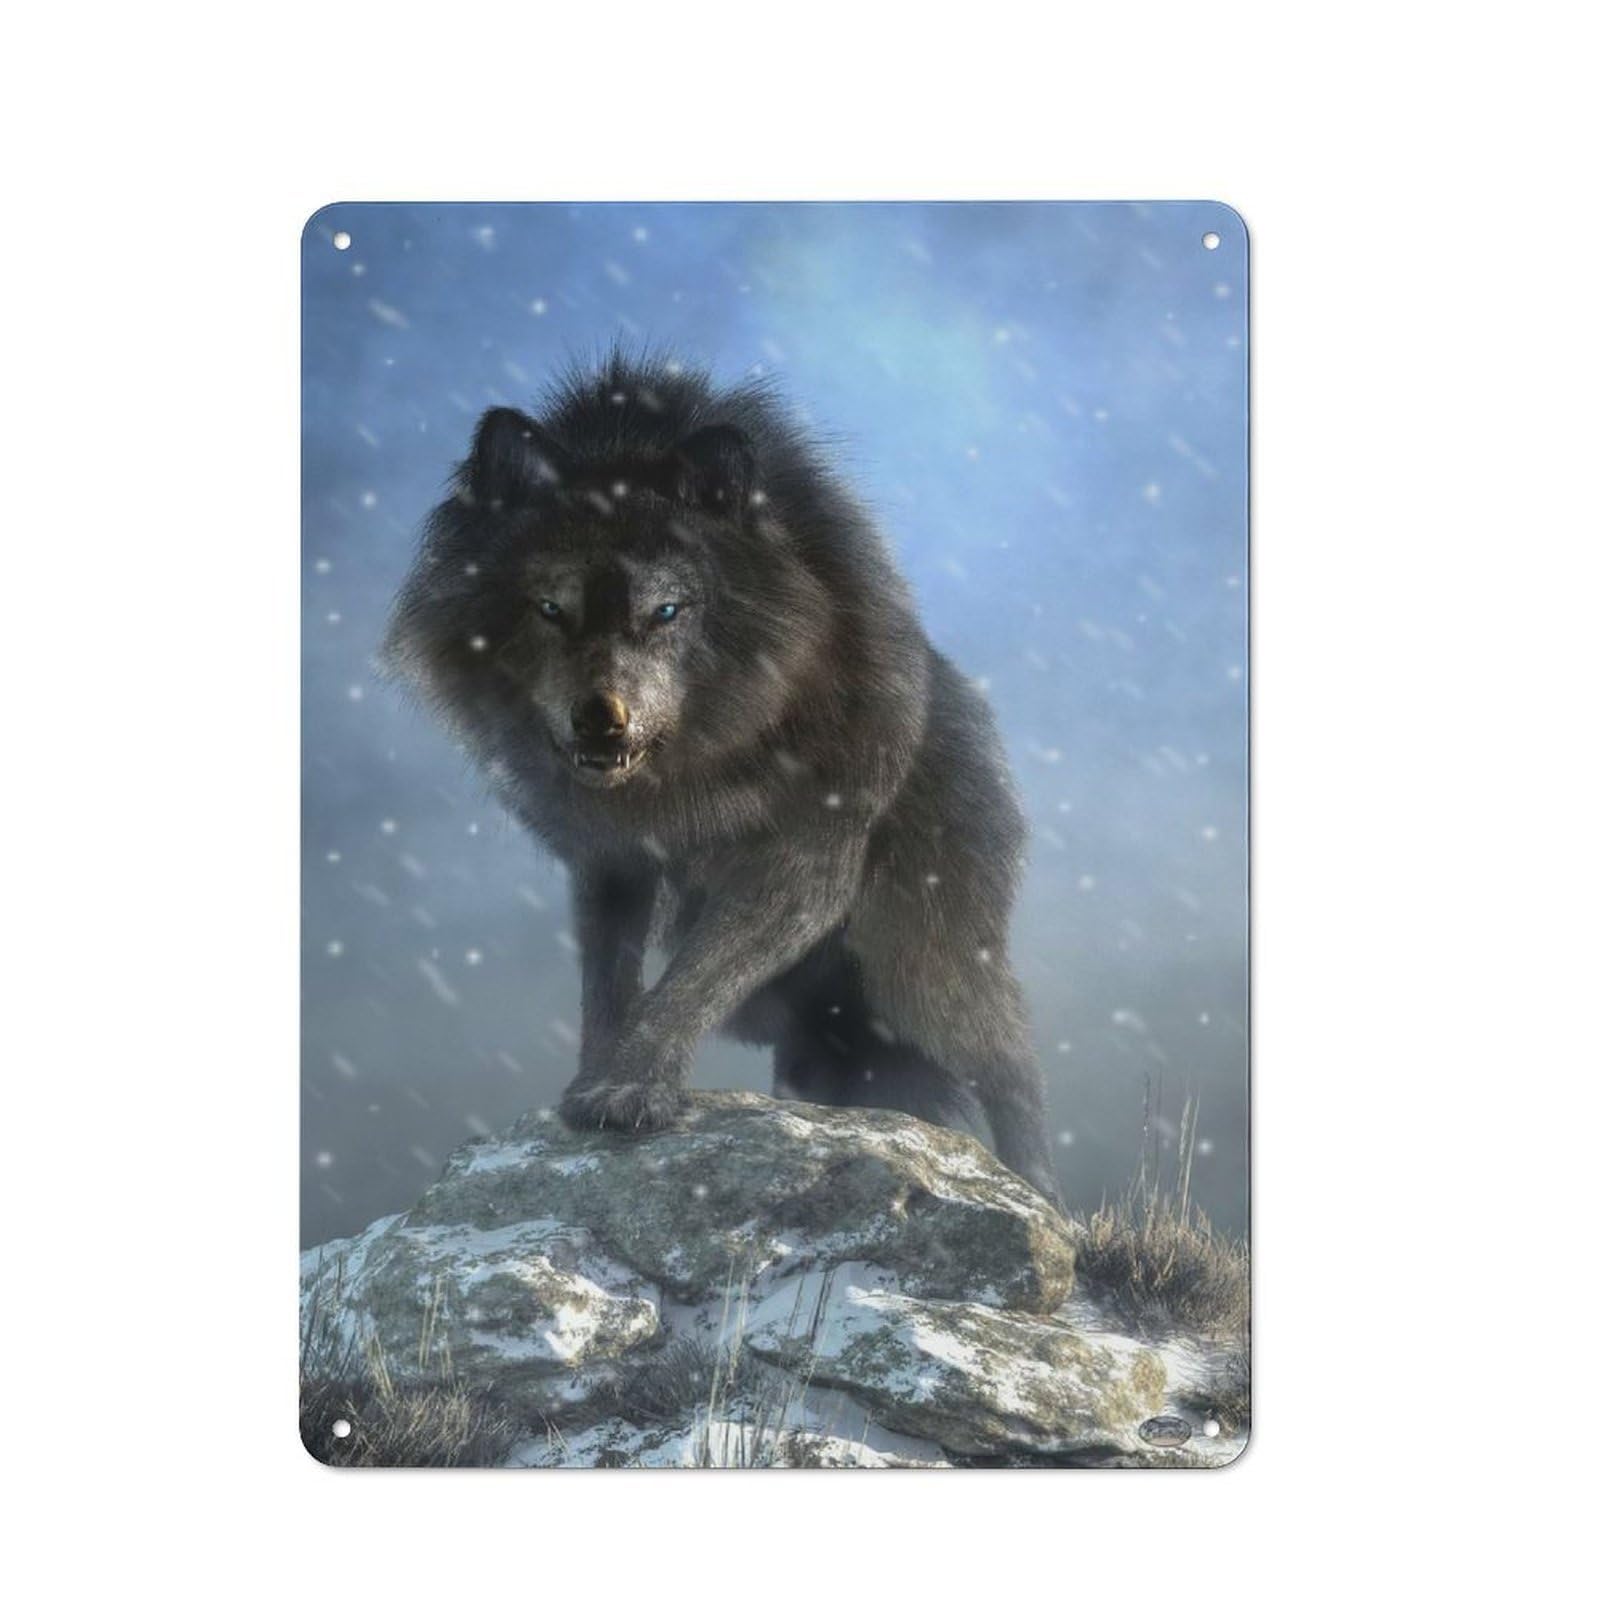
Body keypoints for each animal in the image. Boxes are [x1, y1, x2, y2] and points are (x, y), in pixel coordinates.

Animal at [384, 355, 1062, 1205]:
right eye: (550, 608)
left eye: (666, 611)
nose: (600, 720)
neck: (692, 768)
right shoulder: (609, 864)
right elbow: (609, 985)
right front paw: (593, 1084)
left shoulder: (805, 861)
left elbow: (694, 976)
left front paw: (630, 1090)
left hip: (919, 968)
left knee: (1011, 1060)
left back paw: (1045, 1196)